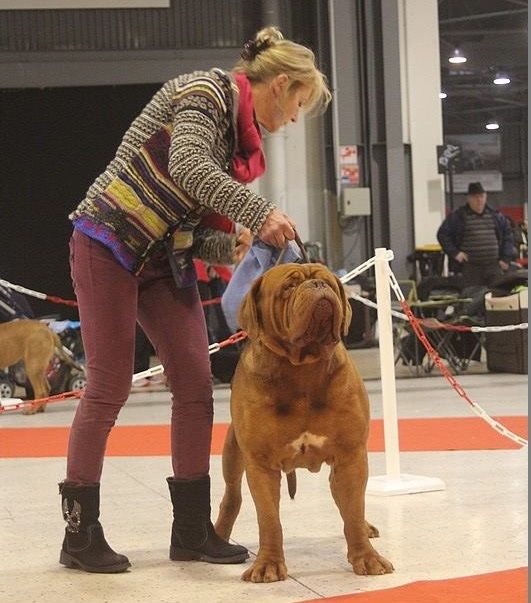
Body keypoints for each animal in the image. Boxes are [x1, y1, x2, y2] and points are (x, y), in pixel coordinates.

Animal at [216, 264, 394, 584]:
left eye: (327, 281)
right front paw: (268, 564)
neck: (302, 369)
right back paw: (218, 537)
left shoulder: (351, 456)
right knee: (231, 496)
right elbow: (269, 519)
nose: (317, 285)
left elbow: (353, 509)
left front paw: (367, 558)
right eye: (288, 287)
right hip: (233, 453)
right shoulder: (261, 464)